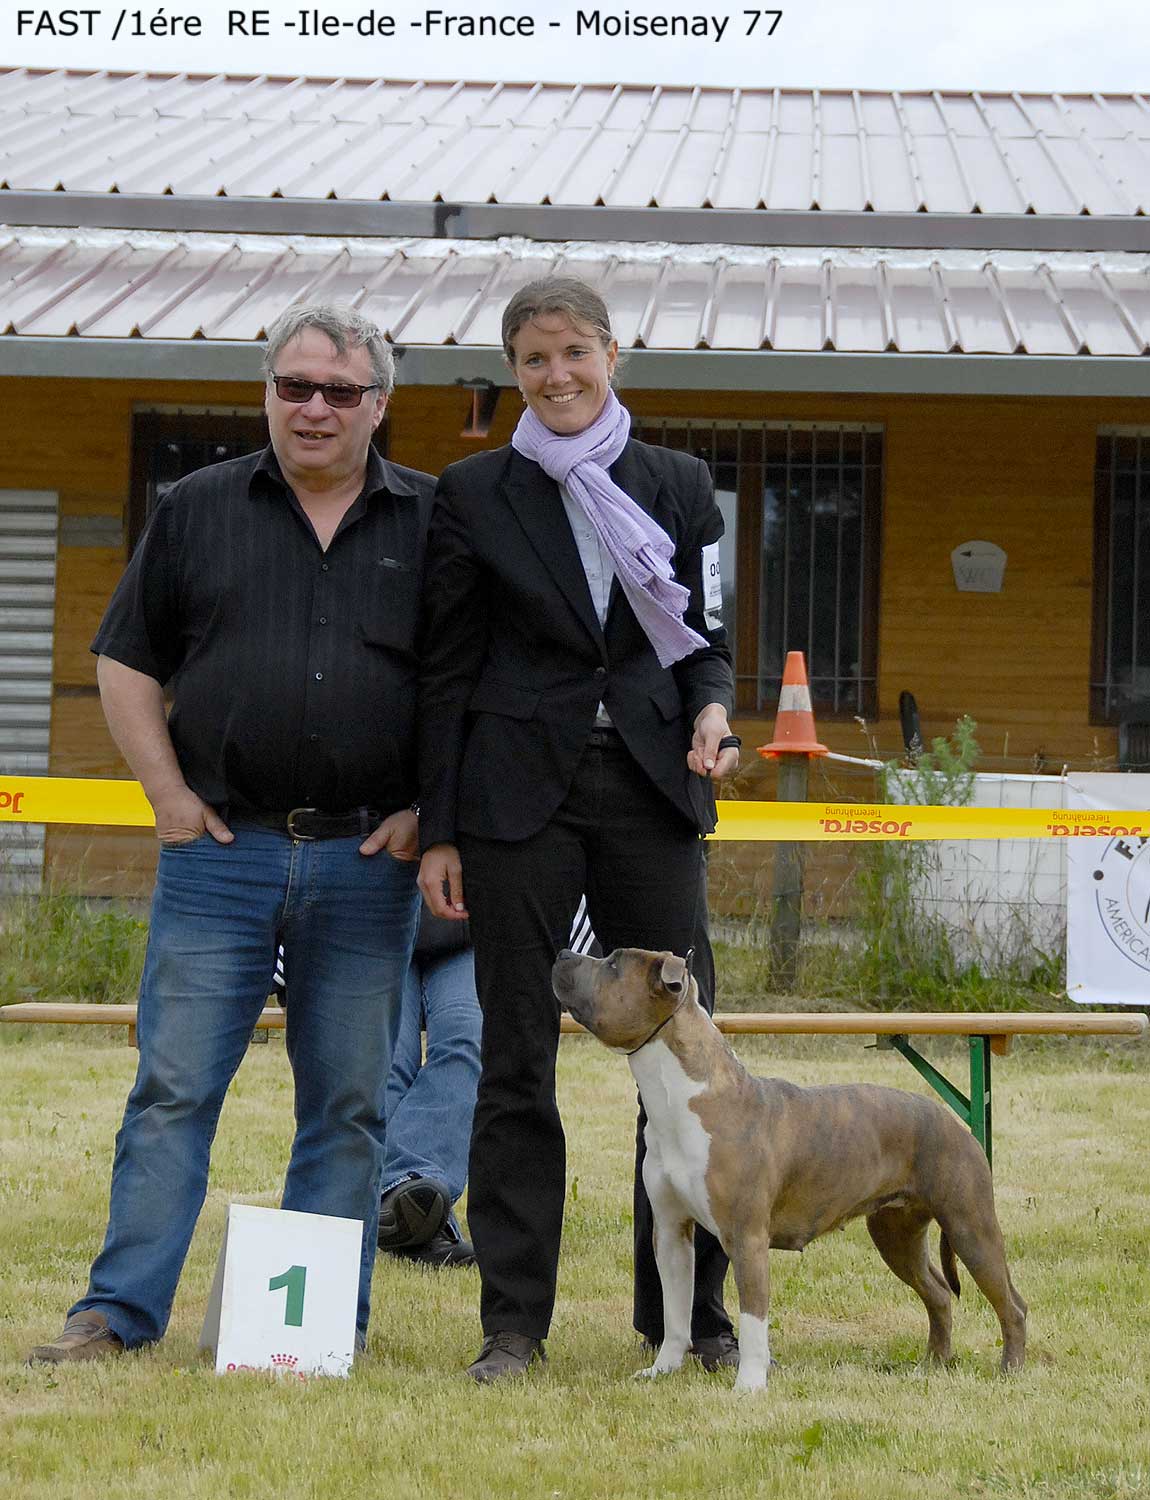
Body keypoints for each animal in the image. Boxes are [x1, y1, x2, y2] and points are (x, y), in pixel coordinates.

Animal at [552, 946, 1027, 1393]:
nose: (563, 953)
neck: (684, 1098)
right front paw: (662, 1370)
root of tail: (953, 1120)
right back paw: (933, 1365)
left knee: (1012, 1304)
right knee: (939, 1294)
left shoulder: (746, 1238)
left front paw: (749, 1385)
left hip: (970, 1227)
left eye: (613, 964)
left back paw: (1010, 1370)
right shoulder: (671, 1232)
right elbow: (673, 1313)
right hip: (897, 1235)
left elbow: (753, 1320)